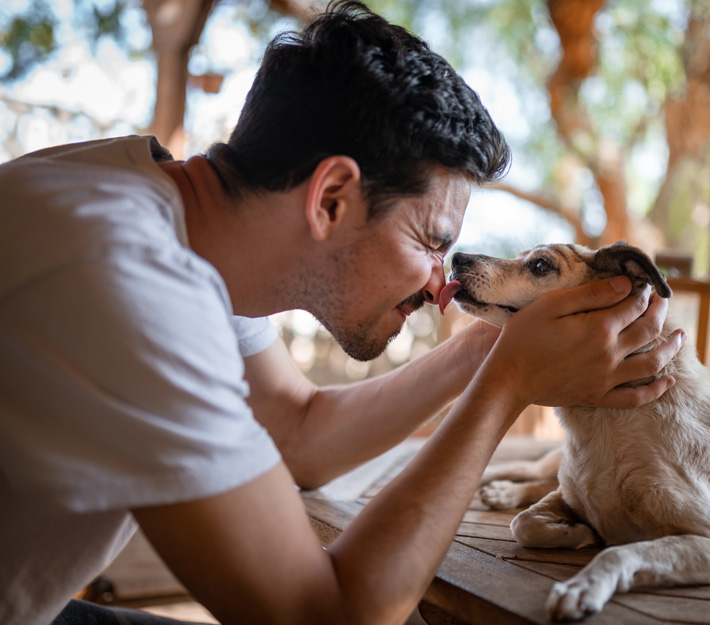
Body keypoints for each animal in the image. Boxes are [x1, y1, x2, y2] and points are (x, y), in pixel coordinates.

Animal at [440, 240, 710, 620]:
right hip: (552, 464)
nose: (457, 257)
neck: (602, 422)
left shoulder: (699, 537)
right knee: (529, 472)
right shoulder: (564, 495)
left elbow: (619, 551)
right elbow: (524, 523)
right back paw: (499, 488)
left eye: (540, 265)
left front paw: (583, 586)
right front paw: (581, 531)